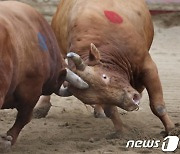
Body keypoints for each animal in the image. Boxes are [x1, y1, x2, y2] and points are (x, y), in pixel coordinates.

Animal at [49, 0, 176, 135]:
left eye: (104, 77)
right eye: (96, 98)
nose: (133, 100)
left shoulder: (147, 66)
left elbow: (158, 106)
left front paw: (171, 129)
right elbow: (111, 111)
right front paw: (121, 132)